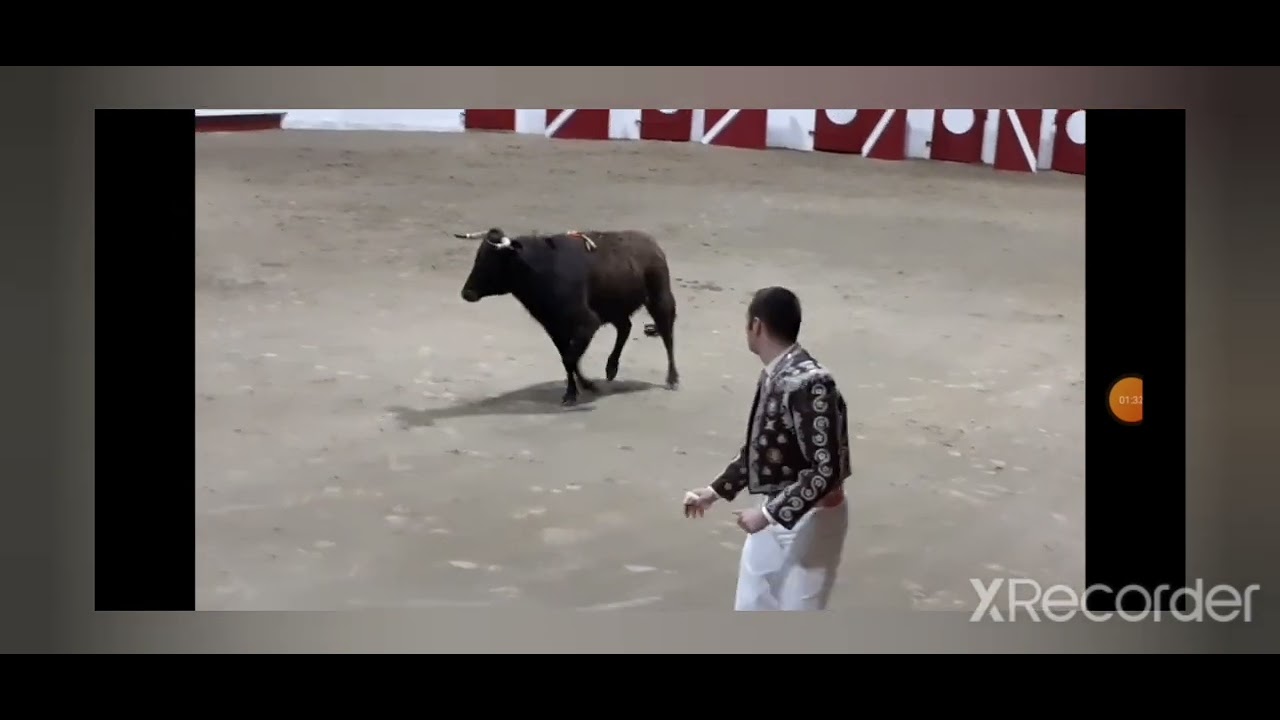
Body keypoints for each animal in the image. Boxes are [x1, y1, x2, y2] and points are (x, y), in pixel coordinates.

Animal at [453, 227, 679, 406]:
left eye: (492, 261)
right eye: (478, 258)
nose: (466, 293)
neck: (540, 269)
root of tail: (651, 242)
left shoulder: (587, 322)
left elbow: (570, 358)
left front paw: (581, 388)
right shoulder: (553, 326)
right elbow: (566, 358)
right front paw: (578, 388)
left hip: (660, 299)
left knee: (667, 334)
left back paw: (672, 379)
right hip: (616, 308)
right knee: (625, 328)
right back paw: (611, 368)